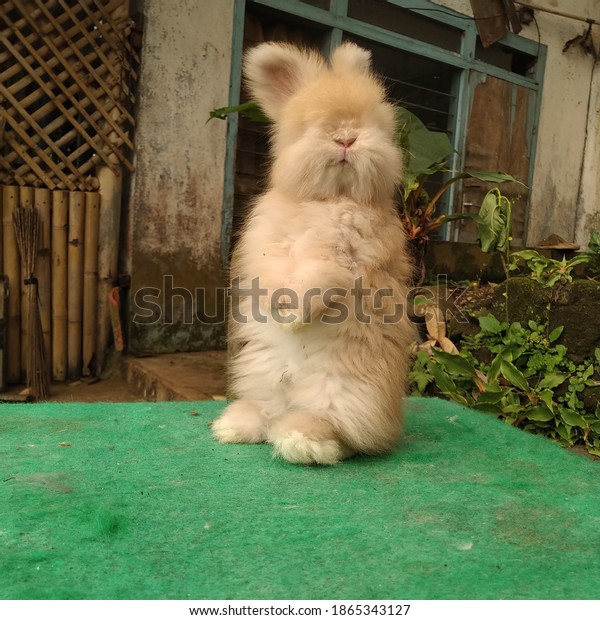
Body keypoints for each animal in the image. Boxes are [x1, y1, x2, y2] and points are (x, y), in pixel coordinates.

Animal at [213, 41, 414, 462]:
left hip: (345, 391)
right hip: (259, 372)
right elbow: (271, 273)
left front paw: (295, 316)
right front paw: (283, 311)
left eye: (374, 125)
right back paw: (234, 426)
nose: (346, 138)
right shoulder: (266, 245)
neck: (327, 199)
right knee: (266, 412)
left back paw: (303, 441)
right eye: (311, 125)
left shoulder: (346, 257)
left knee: (343, 433)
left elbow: (319, 281)